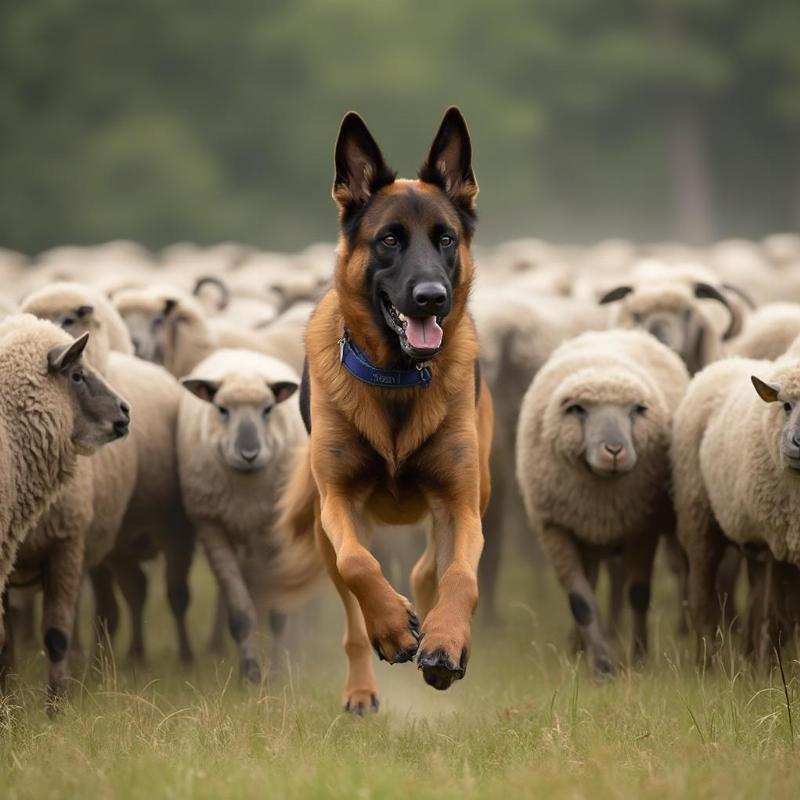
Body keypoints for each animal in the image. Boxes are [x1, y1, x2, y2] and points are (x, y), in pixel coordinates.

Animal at [178, 350, 322, 680]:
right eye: (221, 409)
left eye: (268, 409)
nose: (248, 453)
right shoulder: (211, 527)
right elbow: (241, 612)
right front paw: (250, 672)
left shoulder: (275, 532)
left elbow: (279, 612)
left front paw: (280, 671)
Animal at [282, 106, 494, 712]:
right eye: (389, 240)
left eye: (445, 239)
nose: (431, 298)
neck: (397, 376)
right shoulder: (339, 502)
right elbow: (359, 564)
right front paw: (396, 628)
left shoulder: (461, 506)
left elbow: (461, 577)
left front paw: (444, 643)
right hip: (330, 528)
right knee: (353, 612)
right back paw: (364, 683)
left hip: (479, 490)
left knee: (430, 568)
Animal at [516, 330, 692, 676]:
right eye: (579, 409)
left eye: (636, 410)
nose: (614, 450)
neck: (601, 492)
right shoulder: (556, 528)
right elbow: (581, 601)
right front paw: (600, 666)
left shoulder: (642, 527)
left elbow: (639, 595)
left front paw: (640, 658)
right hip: (584, 533)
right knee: (590, 582)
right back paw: (577, 647)